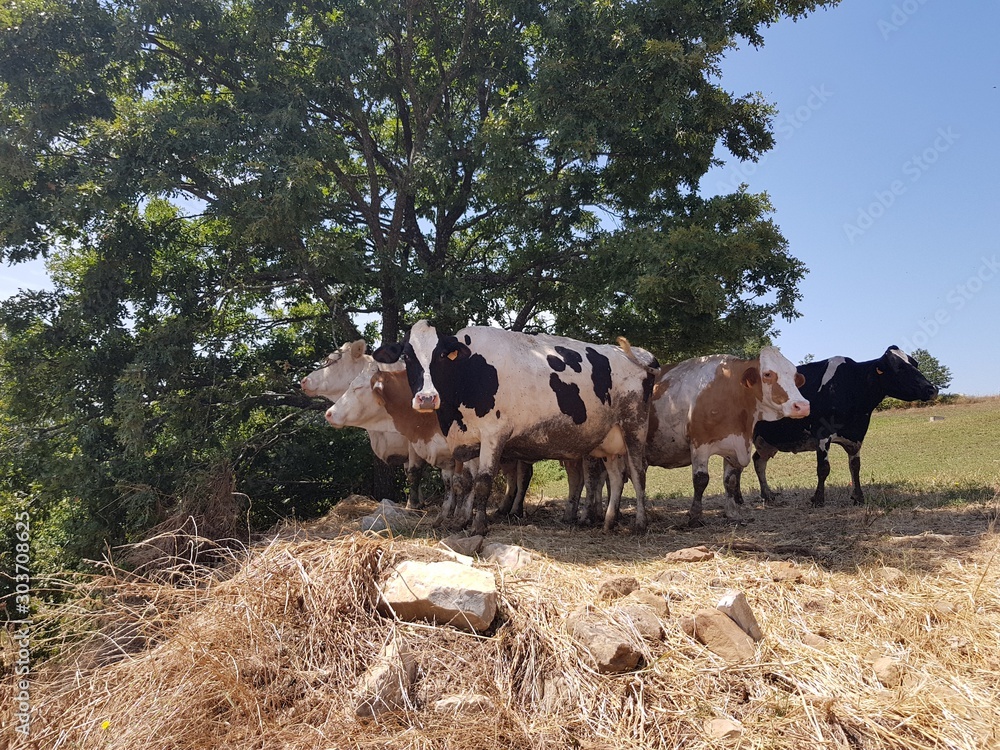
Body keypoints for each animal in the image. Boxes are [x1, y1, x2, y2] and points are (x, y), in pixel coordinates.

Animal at [374, 320, 657, 536]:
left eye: (441, 356)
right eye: (407, 356)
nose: (427, 398)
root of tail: (640, 354)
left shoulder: (493, 435)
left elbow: (483, 482)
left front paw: (478, 525)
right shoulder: (469, 440)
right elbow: (465, 483)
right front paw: (461, 520)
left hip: (634, 427)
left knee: (637, 473)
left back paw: (640, 523)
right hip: (610, 440)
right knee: (617, 476)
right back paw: (609, 521)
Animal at [644, 347, 810, 526]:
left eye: (794, 375)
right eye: (767, 374)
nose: (802, 406)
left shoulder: (733, 445)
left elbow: (730, 481)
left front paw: (732, 513)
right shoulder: (699, 444)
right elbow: (701, 480)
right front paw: (695, 516)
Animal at [745, 345, 938, 507]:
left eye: (915, 363)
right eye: (899, 367)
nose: (932, 389)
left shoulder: (857, 435)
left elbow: (855, 466)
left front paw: (858, 497)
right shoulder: (822, 433)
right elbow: (823, 468)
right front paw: (818, 499)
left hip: (767, 441)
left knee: (758, 460)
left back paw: (767, 494)